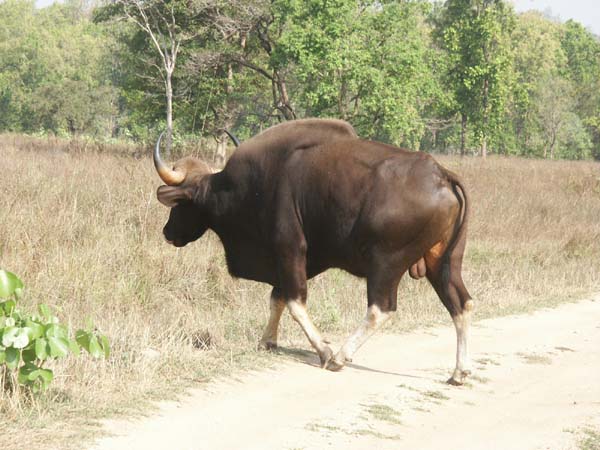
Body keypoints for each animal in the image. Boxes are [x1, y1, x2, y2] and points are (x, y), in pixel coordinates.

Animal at [154, 118, 474, 384]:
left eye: (181, 203)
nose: (168, 232)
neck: (246, 188)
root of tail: (440, 174)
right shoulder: (292, 261)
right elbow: (277, 298)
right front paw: (267, 341)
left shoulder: (289, 250)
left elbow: (295, 303)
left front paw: (324, 350)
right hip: (443, 262)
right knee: (461, 303)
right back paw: (459, 372)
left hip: (386, 263)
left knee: (380, 308)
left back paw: (342, 356)